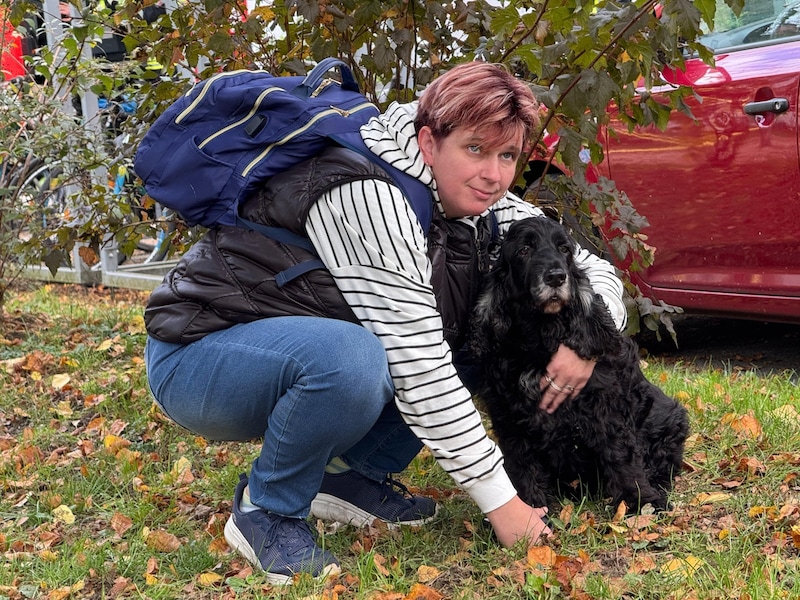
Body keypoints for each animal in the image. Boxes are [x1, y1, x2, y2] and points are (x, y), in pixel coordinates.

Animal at [468, 218, 688, 512]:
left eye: (564, 249)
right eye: (524, 250)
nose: (556, 277)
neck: (541, 337)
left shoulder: (606, 407)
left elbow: (621, 455)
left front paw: (641, 503)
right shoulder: (509, 417)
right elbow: (523, 466)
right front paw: (532, 511)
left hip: (670, 417)